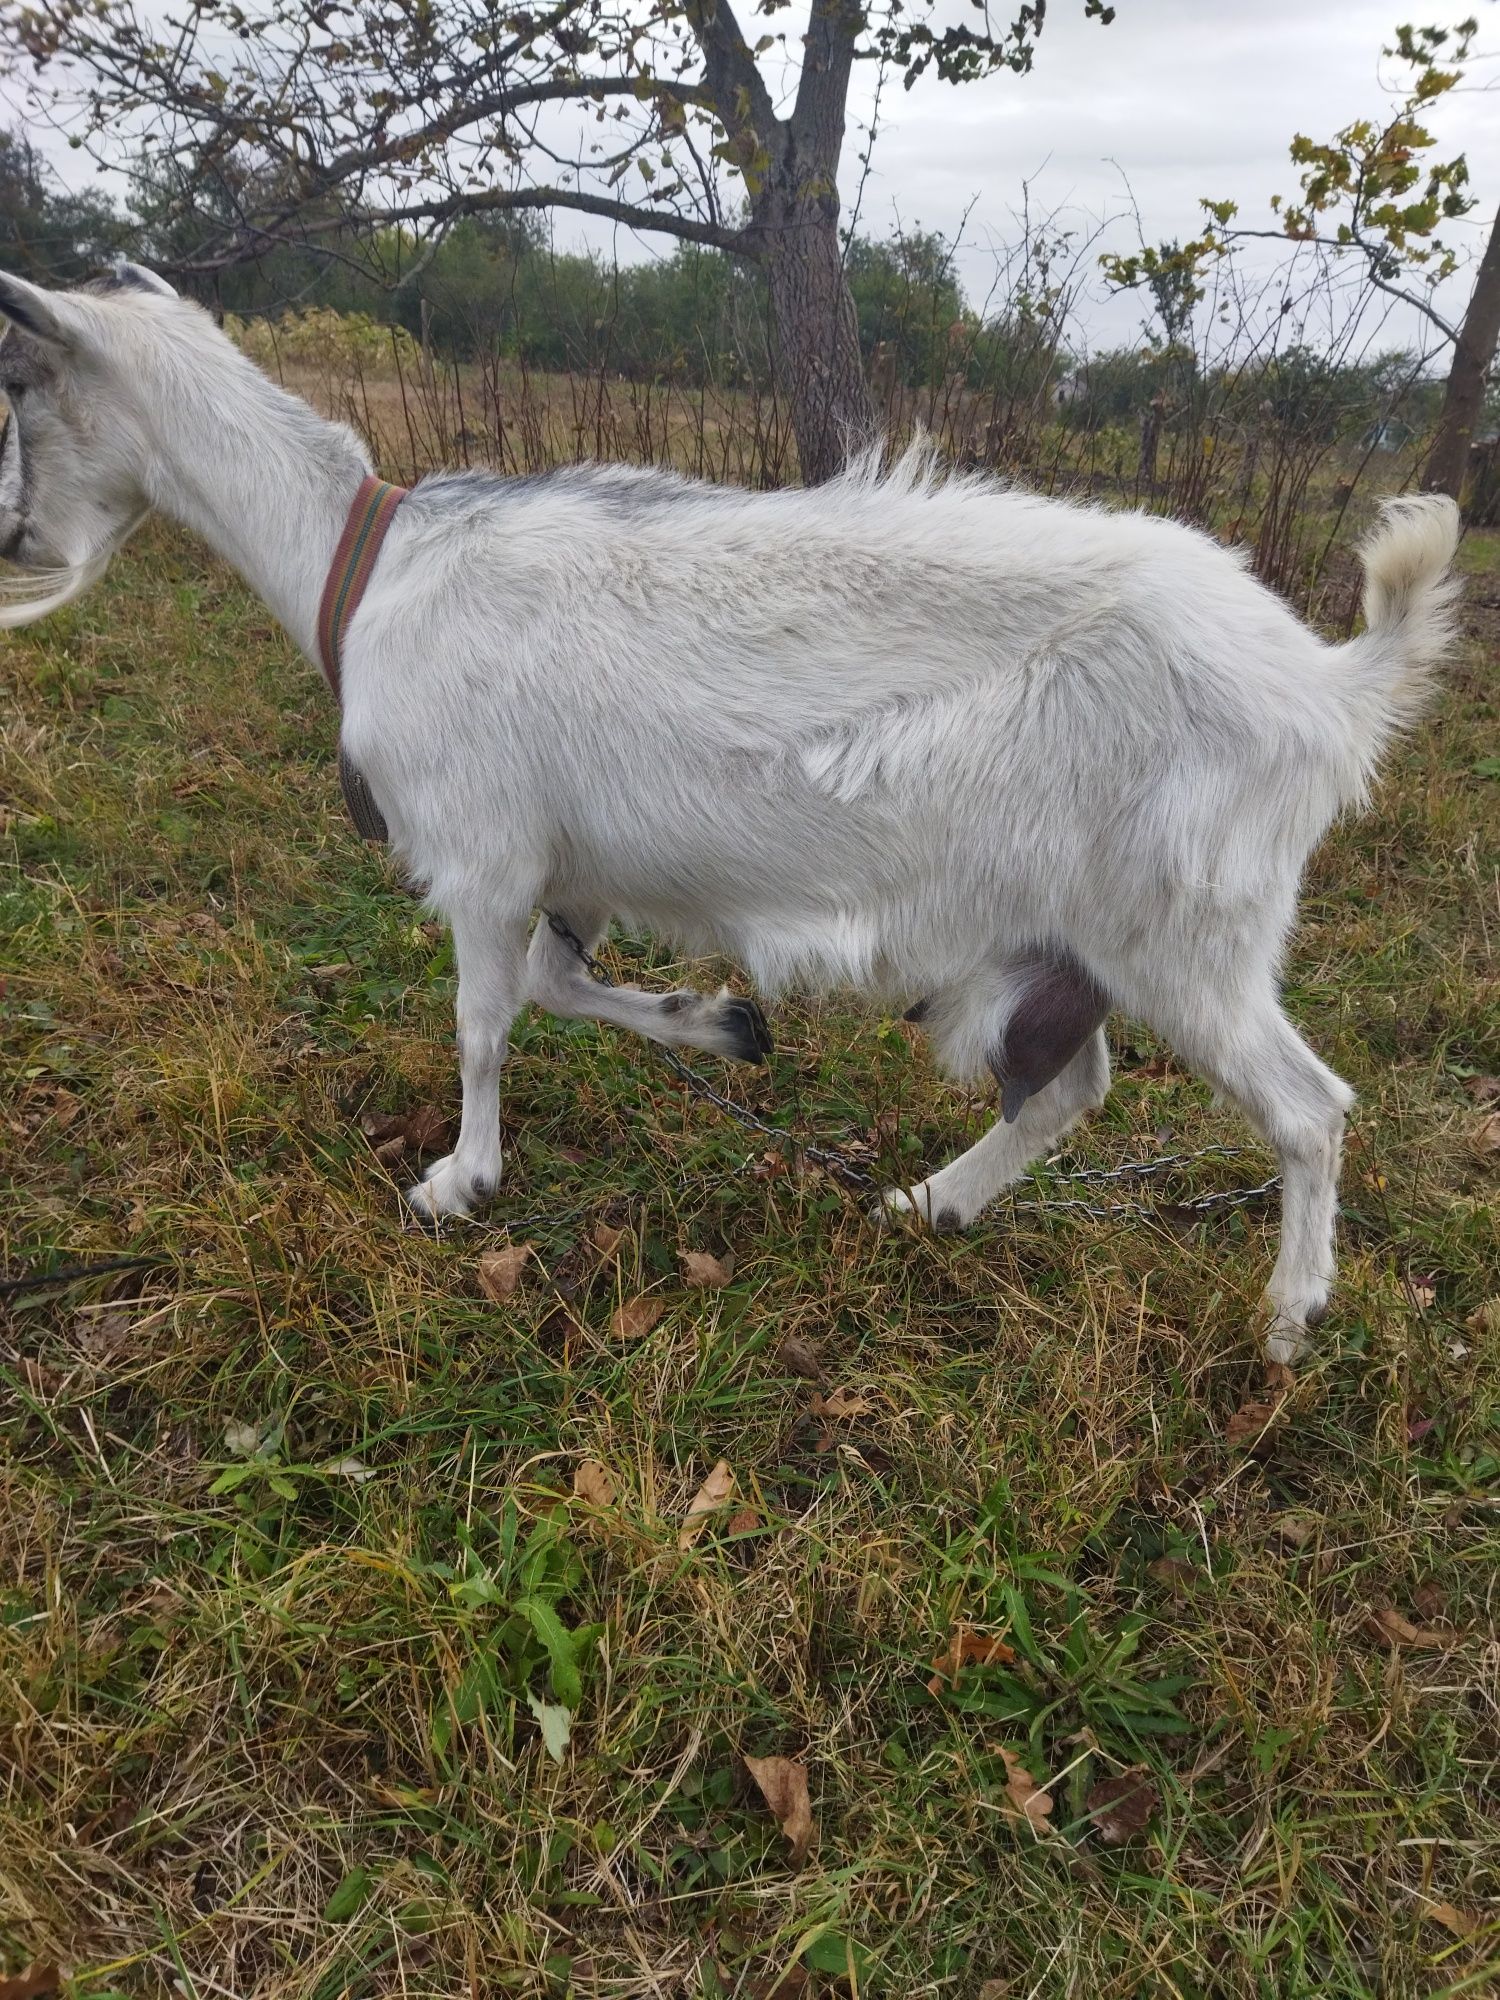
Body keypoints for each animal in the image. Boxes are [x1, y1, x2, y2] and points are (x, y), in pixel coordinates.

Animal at [0, 266, 1456, 1360]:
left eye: (21, 379)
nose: (18, 545)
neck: (365, 570)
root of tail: (1331, 685)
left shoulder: (481, 850)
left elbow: (482, 1022)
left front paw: (459, 1182)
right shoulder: (567, 865)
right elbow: (555, 985)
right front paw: (721, 1024)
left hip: (1189, 926)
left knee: (1310, 1108)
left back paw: (1286, 1318)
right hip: (1070, 939)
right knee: (1068, 1089)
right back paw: (930, 1203)